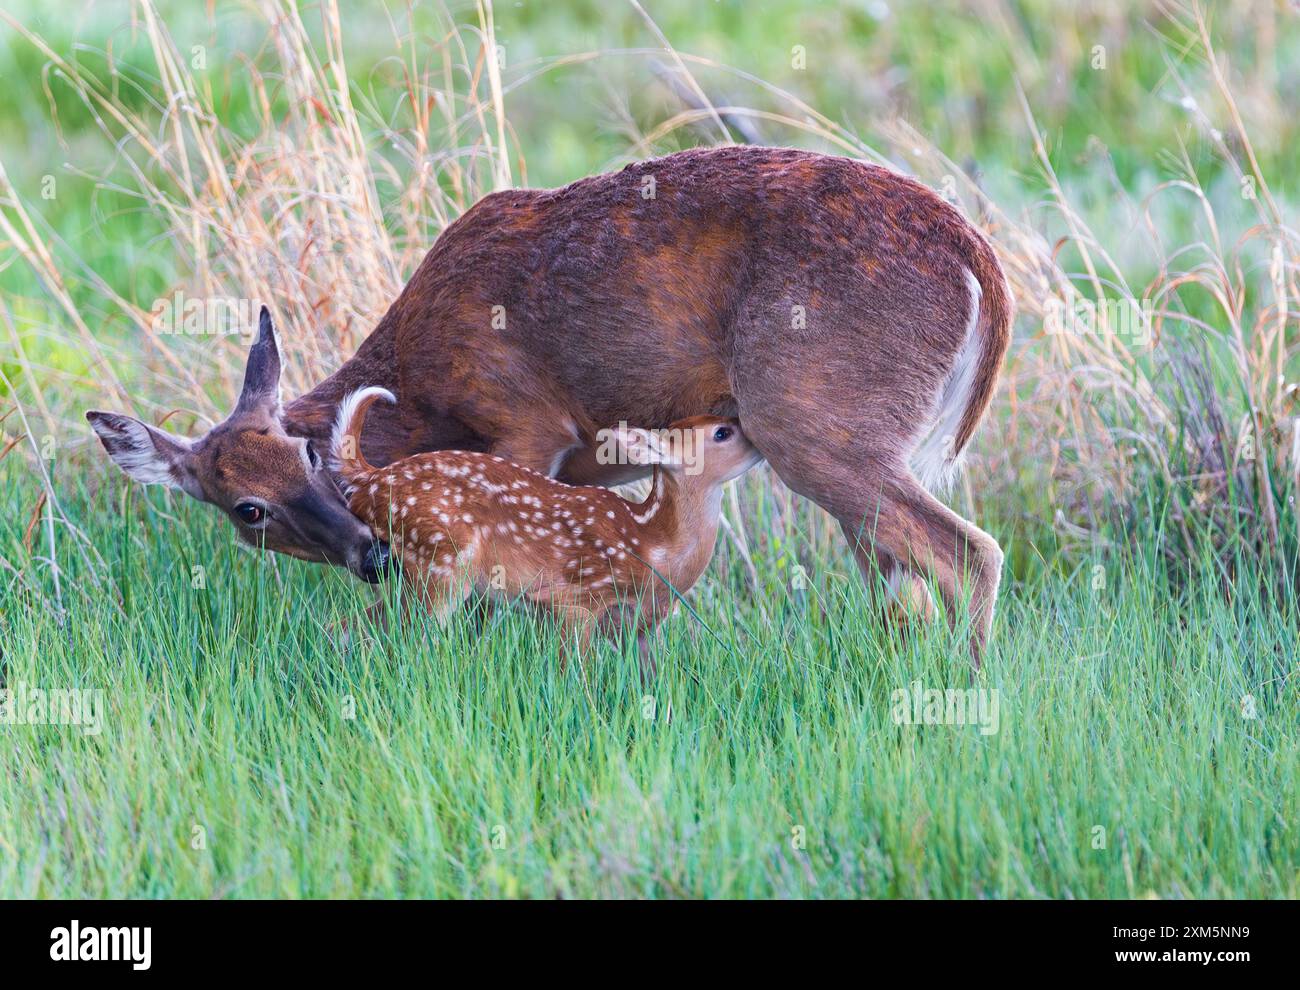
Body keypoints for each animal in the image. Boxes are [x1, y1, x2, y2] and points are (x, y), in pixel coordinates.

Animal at [330, 384, 764, 662]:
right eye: (722, 432)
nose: (757, 437)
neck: (651, 542)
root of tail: (370, 480)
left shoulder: (633, 627)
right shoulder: (575, 599)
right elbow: (575, 674)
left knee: (350, 625)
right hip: (442, 563)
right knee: (404, 641)